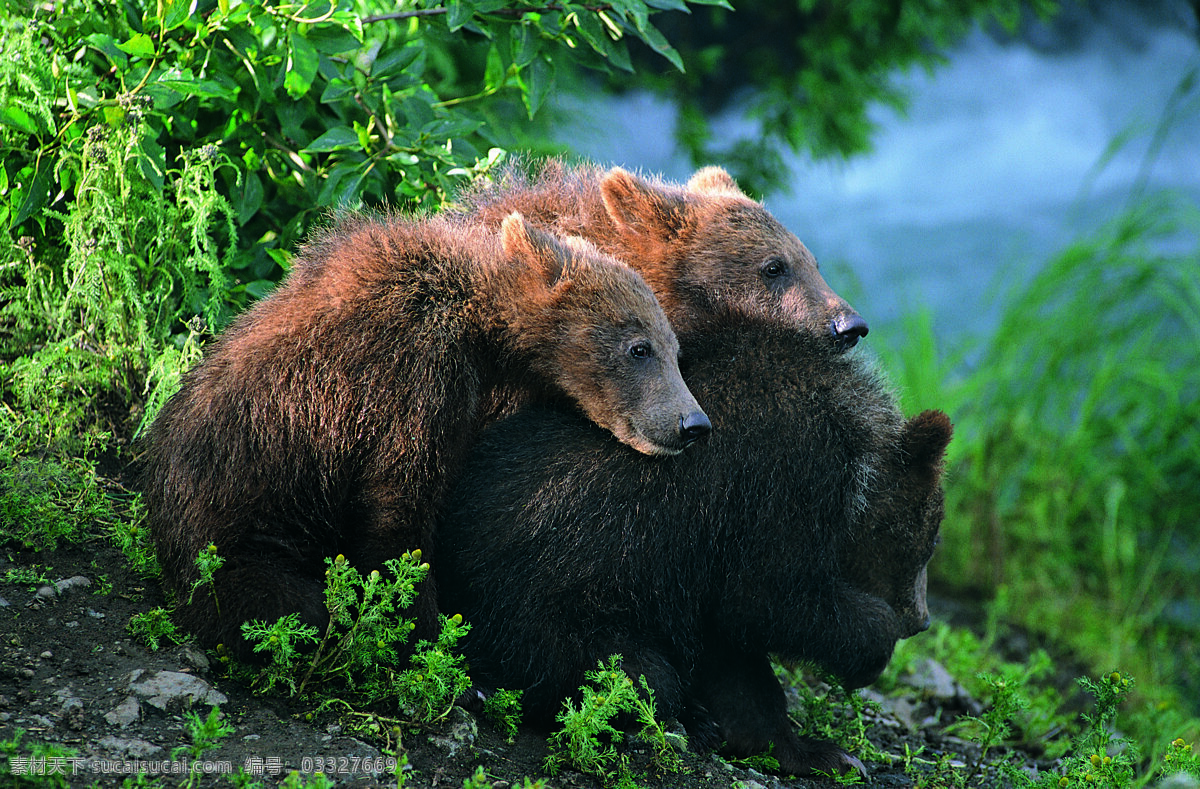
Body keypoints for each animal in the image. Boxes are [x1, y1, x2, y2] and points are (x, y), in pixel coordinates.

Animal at [138, 208, 710, 657]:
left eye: (676, 349)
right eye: (640, 348)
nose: (693, 424)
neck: (483, 330)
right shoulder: (411, 375)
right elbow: (400, 507)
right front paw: (428, 635)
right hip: (238, 531)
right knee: (282, 604)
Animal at [436, 316, 950, 777]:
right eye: (929, 539)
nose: (921, 619)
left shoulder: (701, 566)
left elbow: (734, 654)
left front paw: (808, 750)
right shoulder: (782, 482)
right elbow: (767, 598)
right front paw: (871, 649)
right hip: (539, 613)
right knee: (636, 674)